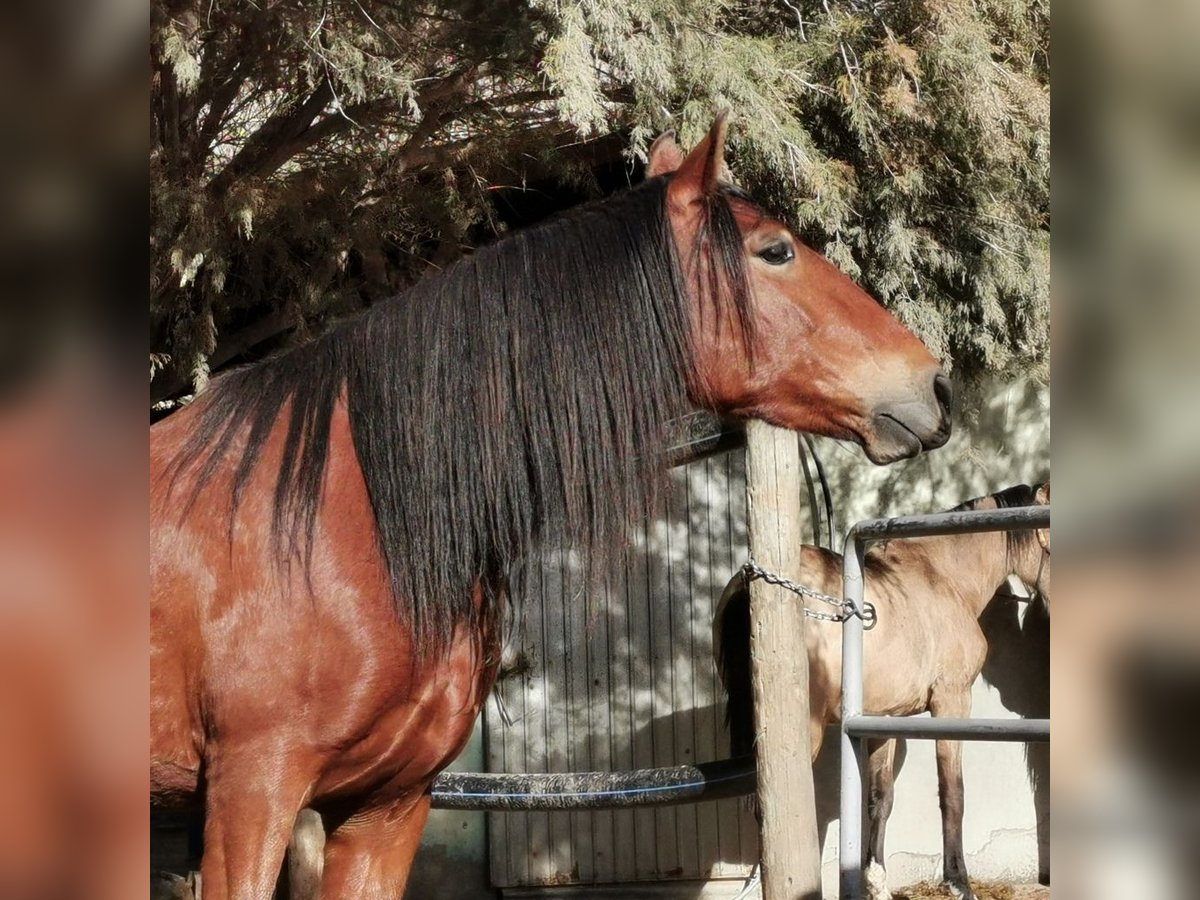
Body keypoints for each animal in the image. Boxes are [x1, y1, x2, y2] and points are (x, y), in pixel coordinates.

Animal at [715, 489, 1046, 900]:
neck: (943, 578)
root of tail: (750, 585)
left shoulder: (884, 719)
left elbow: (880, 800)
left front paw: (877, 884)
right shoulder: (952, 701)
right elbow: (953, 792)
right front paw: (958, 883)